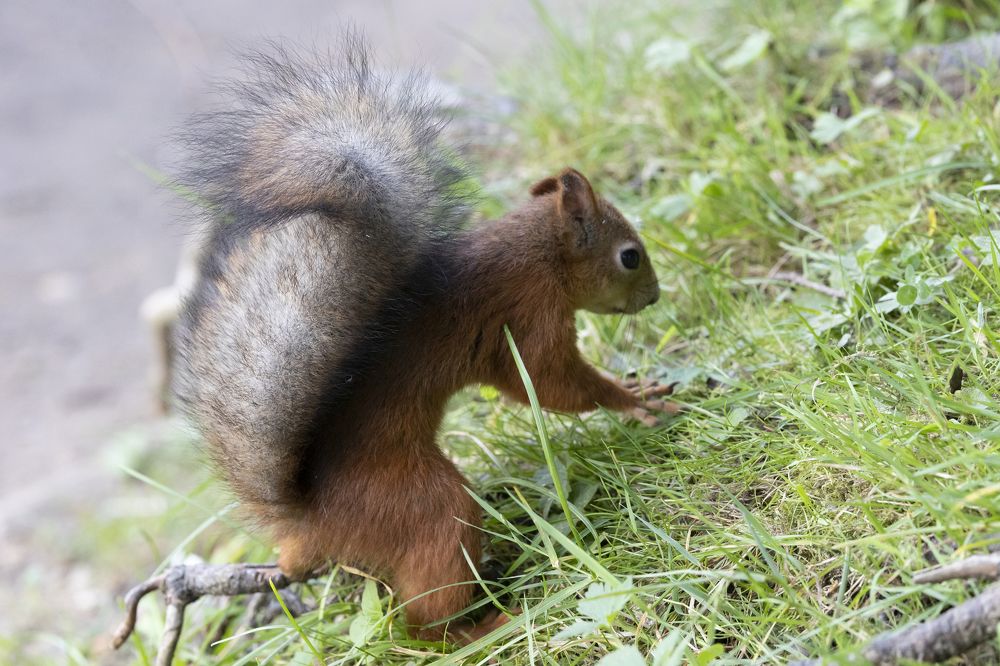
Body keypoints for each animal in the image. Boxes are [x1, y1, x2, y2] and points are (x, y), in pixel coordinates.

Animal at [171, 38, 673, 644]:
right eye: (630, 256)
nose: (654, 296)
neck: (538, 251)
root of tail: (306, 525)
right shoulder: (528, 319)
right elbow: (552, 384)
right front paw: (632, 397)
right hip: (425, 509)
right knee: (419, 623)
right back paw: (483, 626)